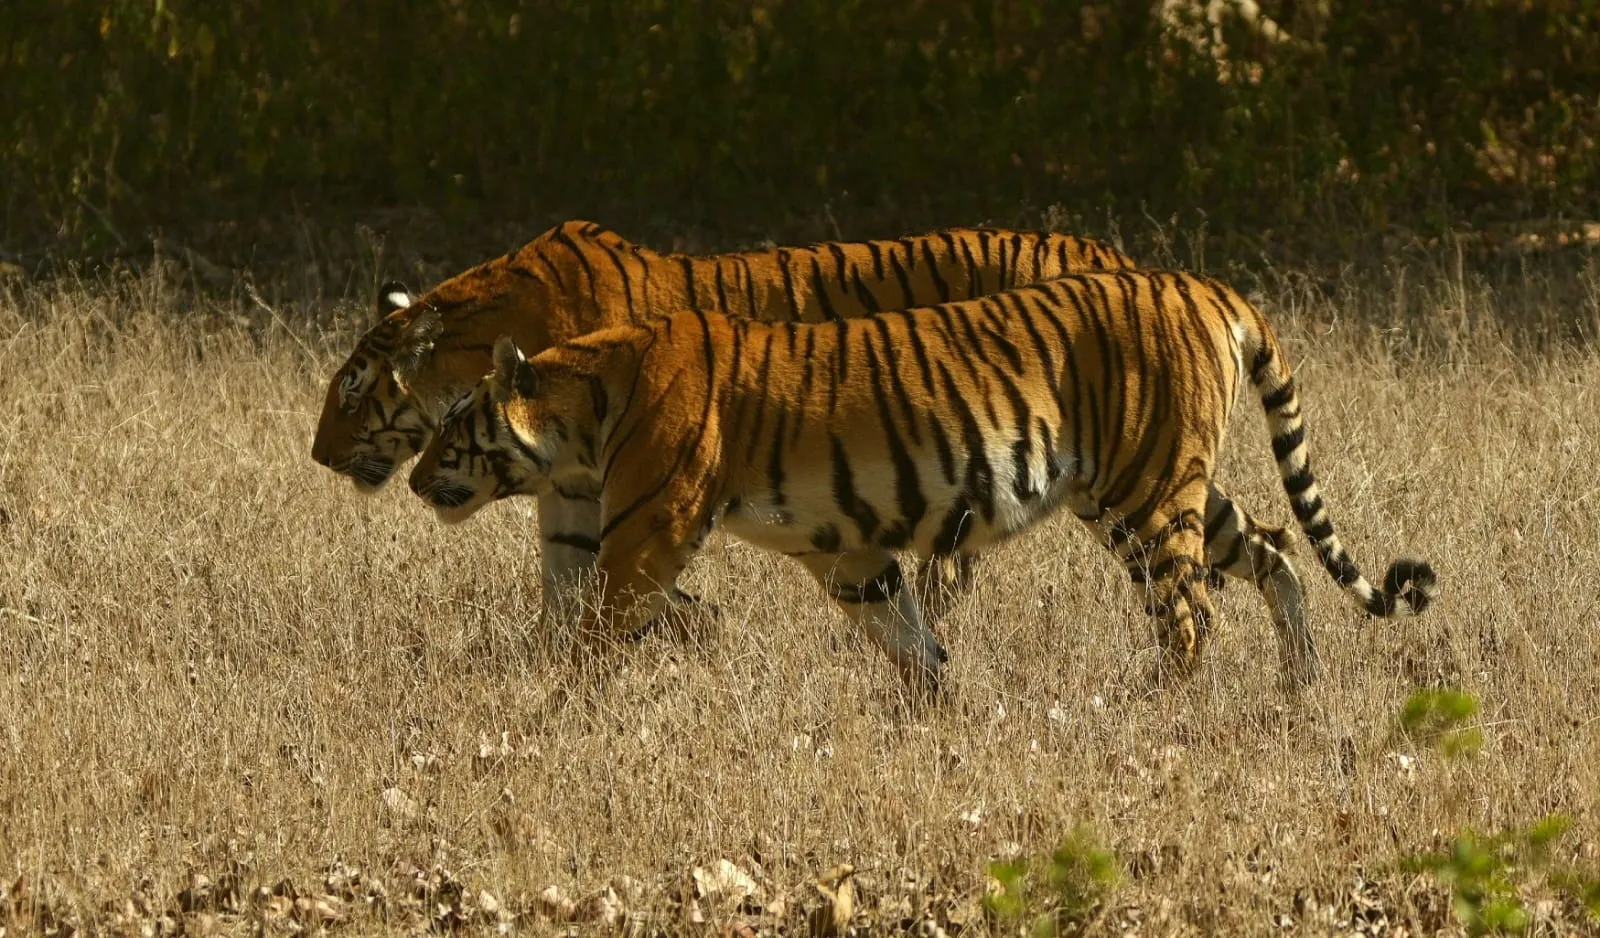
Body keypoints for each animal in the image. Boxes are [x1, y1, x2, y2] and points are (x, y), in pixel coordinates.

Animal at [312, 218, 1172, 623]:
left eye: (351, 391)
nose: (319, 457)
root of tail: (1118, 259)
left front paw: (693, 626)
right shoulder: (572, 485)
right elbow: (564, 587)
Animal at [405, 270, 1438, 696]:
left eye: (451, 430)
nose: (412, 481)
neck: (583, 404)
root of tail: (1208, 287)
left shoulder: (646, 535)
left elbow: (591, 632)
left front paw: (557, 714)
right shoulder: (847, 551)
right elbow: (908, 638)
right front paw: (944, 709)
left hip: (1148, 493)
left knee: (1191, 613)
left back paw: (1161, 705)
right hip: (1160, 485)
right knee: (1273, 551)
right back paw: (1300, 687)